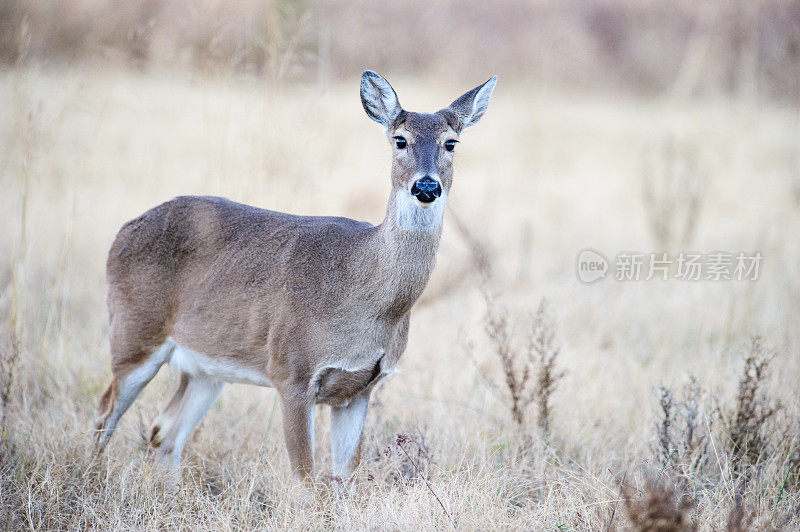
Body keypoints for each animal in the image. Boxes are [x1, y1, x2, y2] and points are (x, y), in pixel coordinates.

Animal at [94, 68, 494, 480]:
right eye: (401, 140)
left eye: (451, 143)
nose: (426, 186)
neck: (365, 297)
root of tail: (124, 230)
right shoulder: (291, 371)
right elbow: (306, 478)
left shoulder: (360, 388)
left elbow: (345, 477)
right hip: (133, 331)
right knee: (105, 412)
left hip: (207, 366)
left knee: (165, 431)